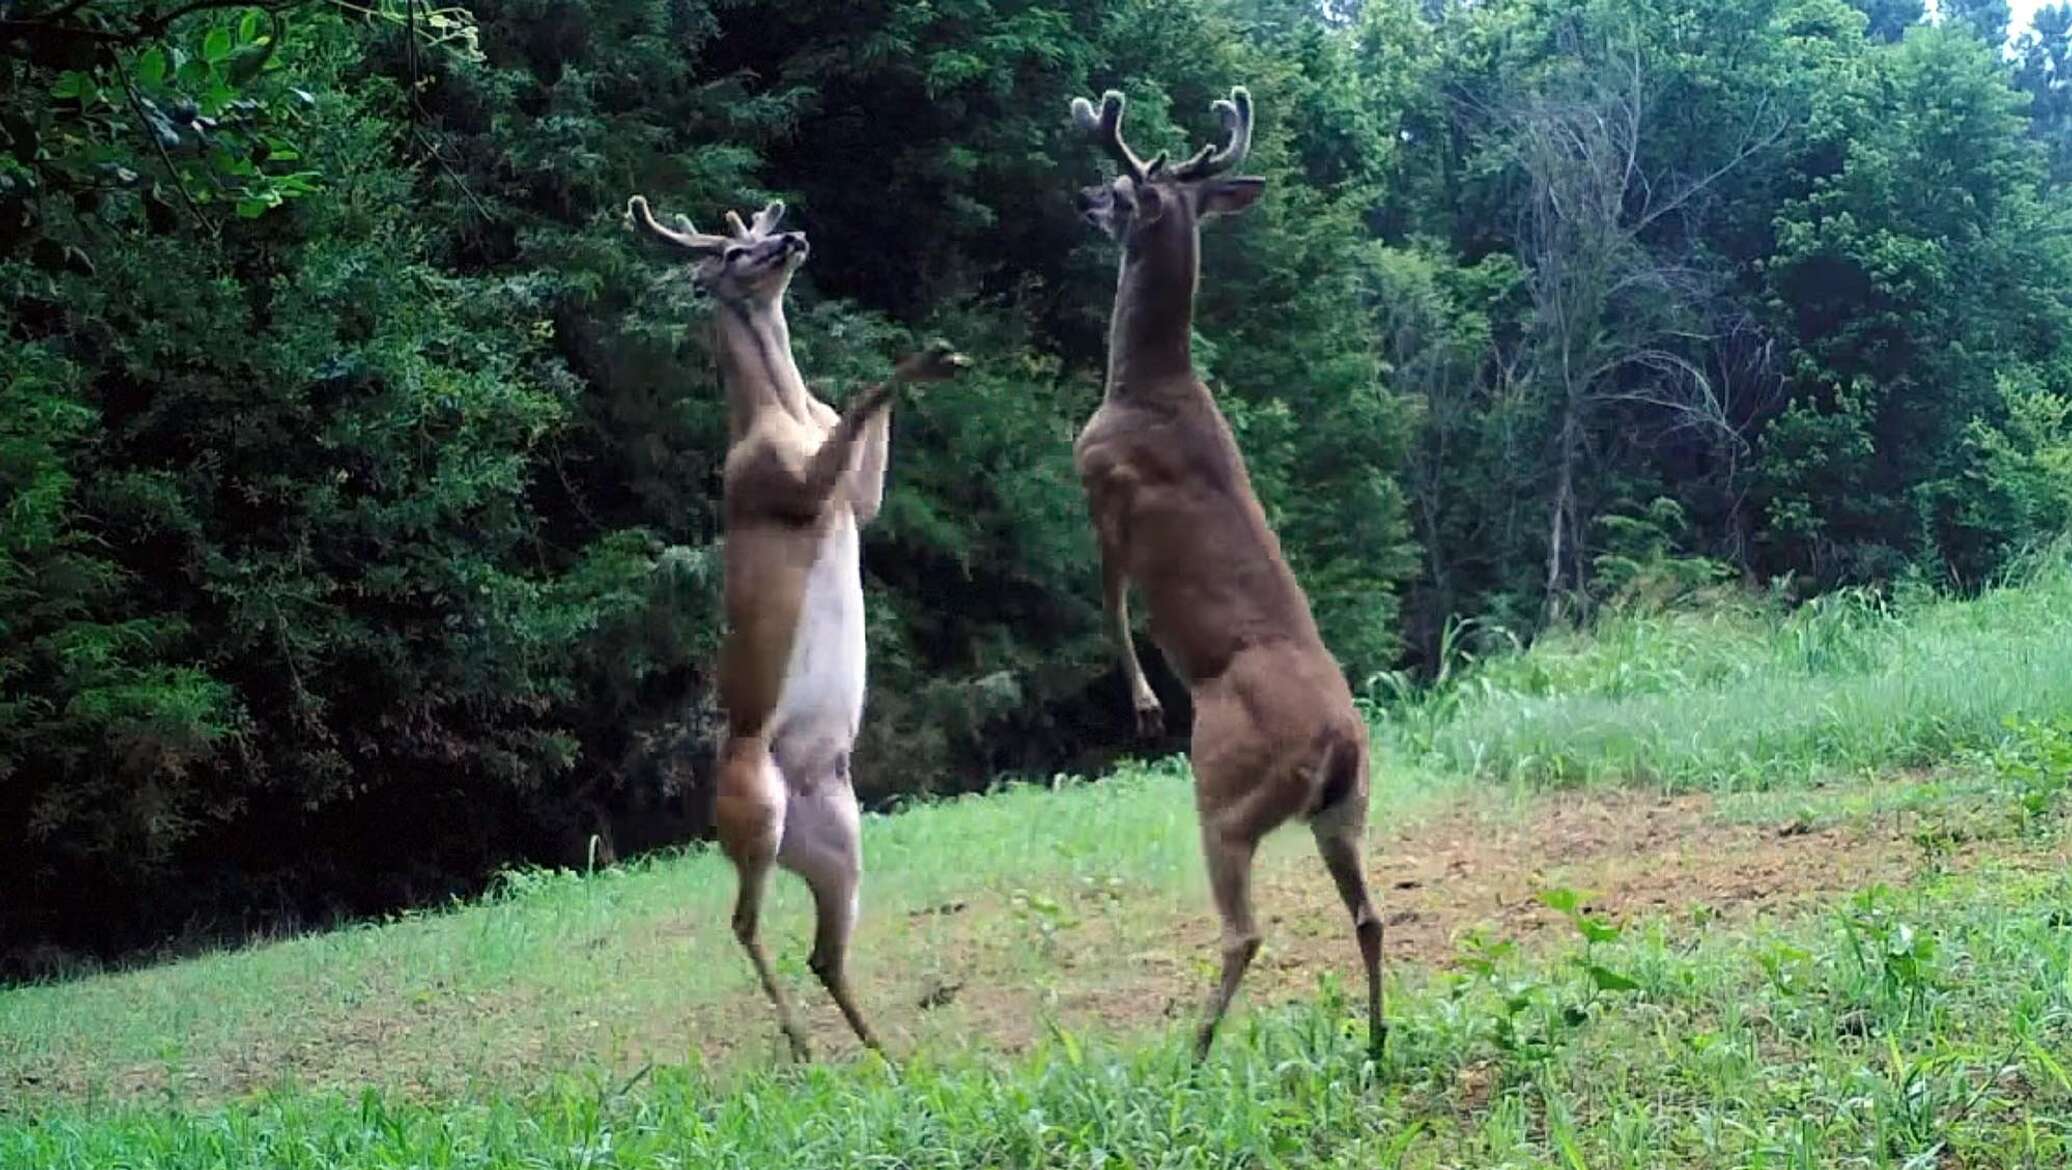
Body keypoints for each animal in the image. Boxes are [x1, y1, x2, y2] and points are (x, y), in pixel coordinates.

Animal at [621, 189, 969, 1060]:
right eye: (733, 254)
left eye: (756, 230)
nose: (794, 237)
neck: (781, 411)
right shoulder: (790, 485)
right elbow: (862, 401)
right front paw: (926, 357)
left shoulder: (855, 499)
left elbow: (864, 448)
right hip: (755, 812)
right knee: (744, 923)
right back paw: (804, 1043)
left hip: (843, 842)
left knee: (821, 951)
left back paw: (883, 1051)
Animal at [1060, 86, 1384, 1060]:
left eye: (1122, 189)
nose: (1081, 198)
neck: (1145, 384)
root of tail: (1341, 743)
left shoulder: (1101, 486)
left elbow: (1111, 606)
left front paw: (1139, 703)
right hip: (1344, 811)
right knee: (1371, 916)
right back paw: (1376, 1041)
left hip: (1224, 792)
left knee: (1245, 930)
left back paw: (1195, 1054)